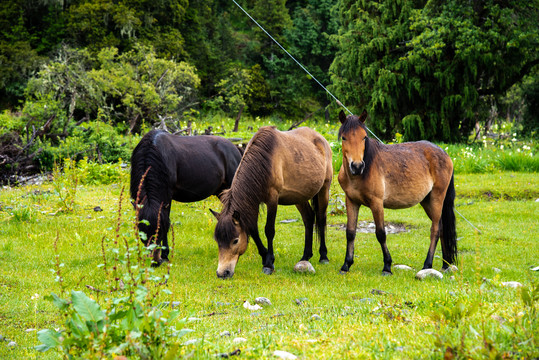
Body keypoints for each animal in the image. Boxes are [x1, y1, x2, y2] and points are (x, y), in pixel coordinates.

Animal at [130, 129, 243, 264]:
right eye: (141, 229)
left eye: (160, 229)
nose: (155, 261)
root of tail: (236, 149)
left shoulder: (167, 198)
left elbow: (167, 220)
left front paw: (165, 254)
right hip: (222, 191)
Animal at [211, 126, 334, 278]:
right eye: (218, 240)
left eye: (235, 240)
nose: (222, 273)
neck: (265, 159)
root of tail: (322, 139)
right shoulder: (254, 201)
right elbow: (253, 229)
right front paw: (265, 257)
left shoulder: (272, 199)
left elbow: (269, 230)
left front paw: (269, 264)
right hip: (299, 197)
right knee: (309, 218)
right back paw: (305, 256)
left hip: (324, 189)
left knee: (321, 219)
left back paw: (323, 256)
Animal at [340, 111, 458, 274]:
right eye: (344, 137)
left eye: (364, 137)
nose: (357, 166)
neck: (359, 176)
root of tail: (444, 153)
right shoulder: (351, 201)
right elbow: (350, 232)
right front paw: (346, 264)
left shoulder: (376, 203)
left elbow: (381, 233)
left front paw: (387, 266)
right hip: (427, 201)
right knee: (441, 229)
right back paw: (445, 265)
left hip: (437, 198)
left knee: (435, 229)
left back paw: (427, 264)